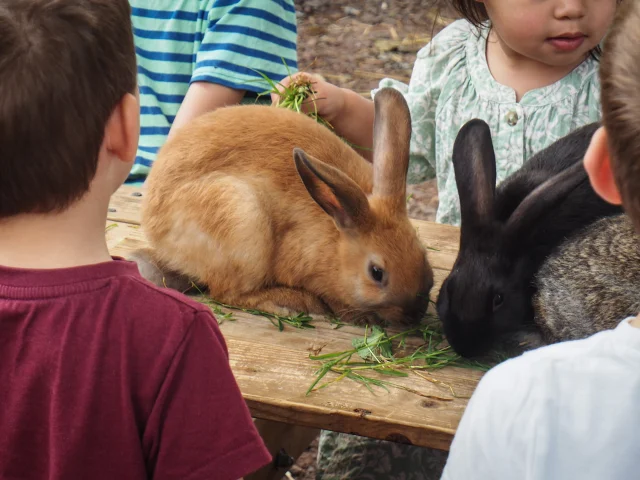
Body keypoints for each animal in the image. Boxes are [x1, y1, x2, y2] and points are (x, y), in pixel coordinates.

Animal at [135, 87, 436, 324]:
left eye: (422, 253)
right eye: (376, 273)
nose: (415, 315)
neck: (336, 238)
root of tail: (153, 222)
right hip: (243, 220)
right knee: (227, 293)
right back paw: (292, 304)